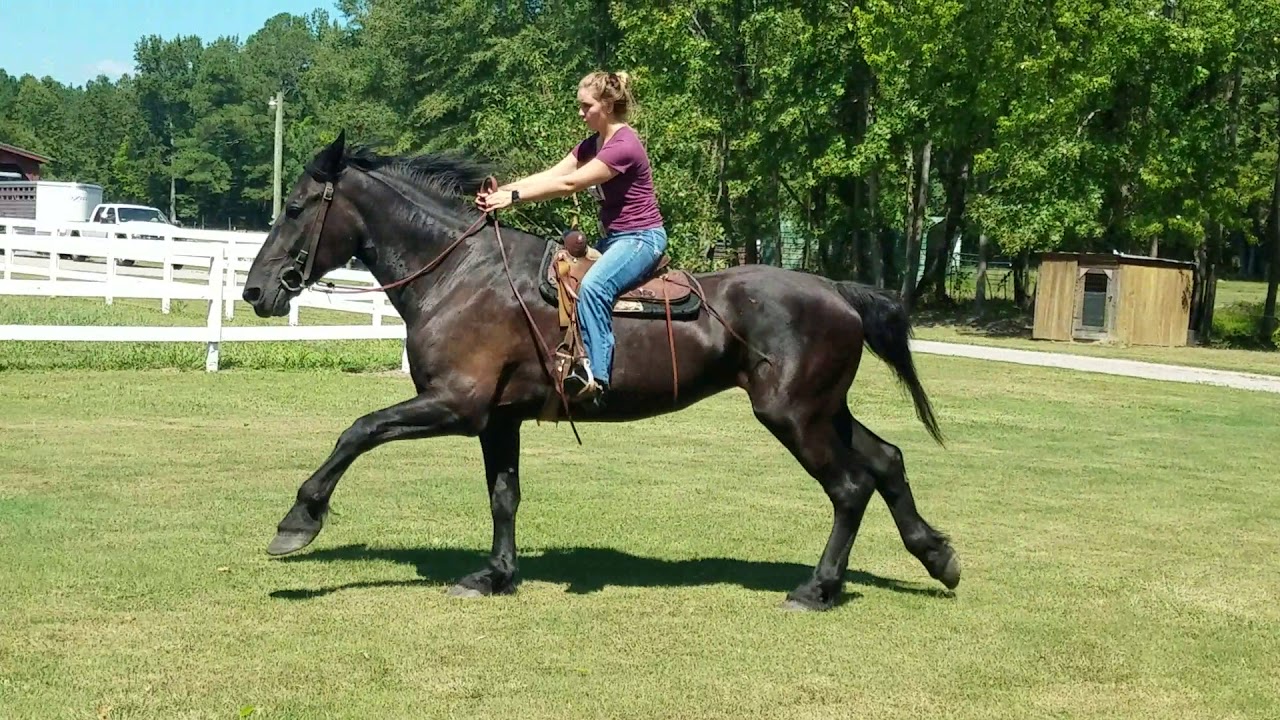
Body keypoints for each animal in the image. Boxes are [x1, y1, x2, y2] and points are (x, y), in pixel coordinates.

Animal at [241, 131, 961, 611]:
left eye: (297, 206)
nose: (254, 291)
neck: (461, 275)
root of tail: (837, 291)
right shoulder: (499, 418)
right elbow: (503, 496)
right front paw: (495, 575)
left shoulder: (457, 405)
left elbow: (357, 430)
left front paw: (298, 521)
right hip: (823, 410)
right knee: (887, 460)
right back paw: (937, 556)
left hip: (794, 416)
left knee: (850, 486)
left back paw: (819, 587)